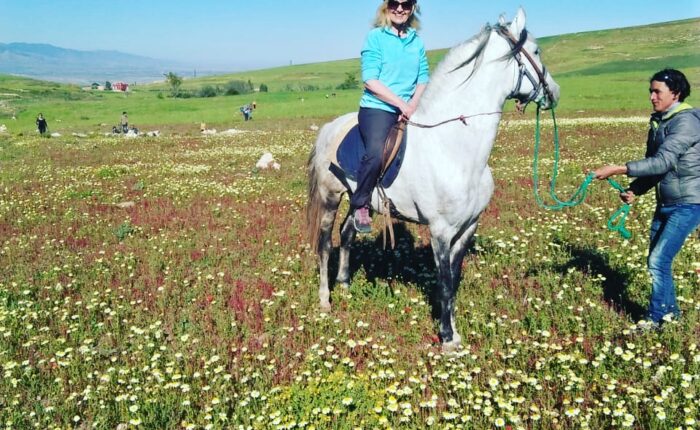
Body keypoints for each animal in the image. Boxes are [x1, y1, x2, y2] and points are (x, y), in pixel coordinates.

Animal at [306, 8, 560, 351]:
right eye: (536, 50)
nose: (554, 92)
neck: (454, 147)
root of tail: (329, 128)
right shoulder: (441, 230)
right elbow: (444, 281)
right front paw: (448, 339)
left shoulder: (467, 228)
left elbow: (454, 278)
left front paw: (452, 331)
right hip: (330, 198)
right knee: (324, 245)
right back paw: (325, 300)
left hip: (361, 203)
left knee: (347, 235)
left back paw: (345, 286)